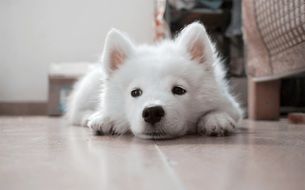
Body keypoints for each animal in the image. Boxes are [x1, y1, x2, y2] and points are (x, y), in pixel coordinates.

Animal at [66, 22, 240, 140]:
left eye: (179, 90)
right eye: (135, 92)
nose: (152, 112)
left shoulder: (232, 105)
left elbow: (219, 110)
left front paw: (216, 118)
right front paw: (106, 117)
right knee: (75, 113)